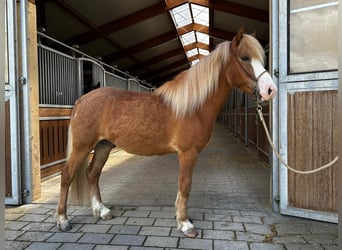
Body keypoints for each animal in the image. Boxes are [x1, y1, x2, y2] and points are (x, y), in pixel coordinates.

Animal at [55, 31, 276, 236]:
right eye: (245, 58)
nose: (270, 90)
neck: (193, 107)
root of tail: (82, 99)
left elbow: (181, 187)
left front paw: (180, 218)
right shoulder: (188, 153)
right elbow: (185, 185)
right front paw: (185, 224)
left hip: (103, 146)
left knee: (92, 174)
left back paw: (102, 211)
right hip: (82, 147)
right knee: (67, 176)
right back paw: (63, 220)